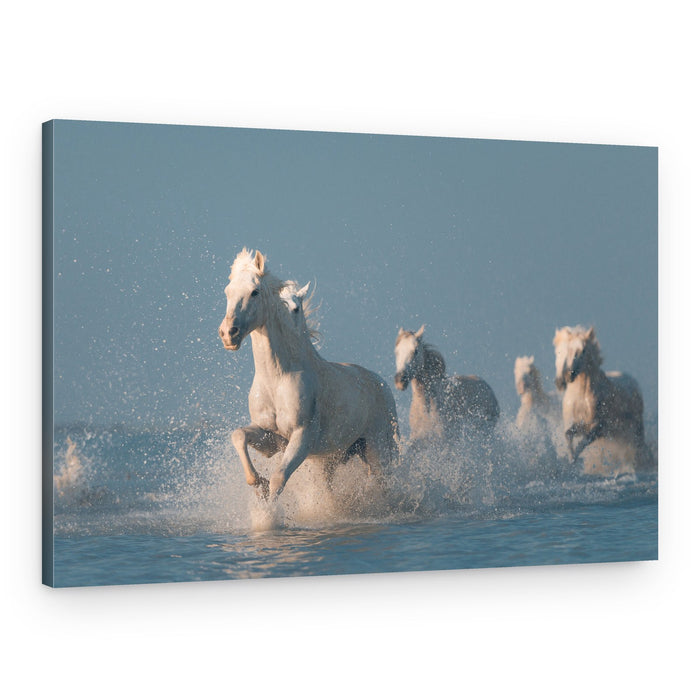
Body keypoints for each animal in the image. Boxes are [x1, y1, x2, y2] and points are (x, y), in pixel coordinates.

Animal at [219, 249, 399, 499]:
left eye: (254, 292)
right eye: (228, 291)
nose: (228, 334)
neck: (278, 378)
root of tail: (381, 383)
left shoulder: (302, 437)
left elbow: (278, 479)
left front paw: (268, 504)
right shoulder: (272, 437)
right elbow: (239, 435)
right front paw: (257, 482)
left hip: (379, 449)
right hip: (333, 458)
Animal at [553, 325, 647, 468]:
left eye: (583, 350)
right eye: (562, 351)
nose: (568, 376)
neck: (581, 397)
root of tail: (632, 380)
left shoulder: (598, 427)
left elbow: (585, 440)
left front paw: (575, 458)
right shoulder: (577, 424)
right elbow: (568, 434)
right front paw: (571, 459)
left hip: (635, 428)